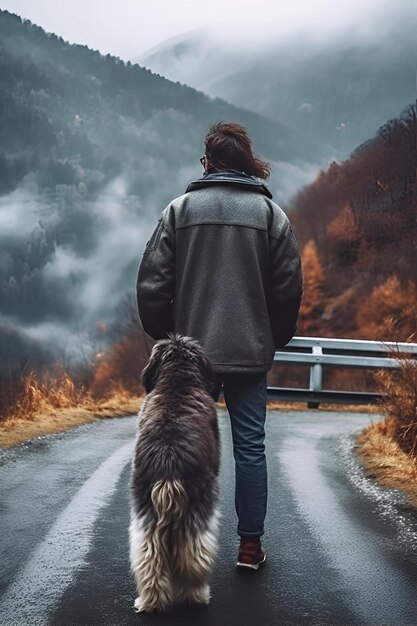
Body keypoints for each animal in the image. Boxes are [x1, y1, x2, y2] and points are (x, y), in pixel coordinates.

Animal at [129, 332, 221, 608]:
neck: (177, 381)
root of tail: (168, 460)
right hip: (198, 505)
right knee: (193, 555)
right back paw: (196, 595)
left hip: (145, 509)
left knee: (148, 557)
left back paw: (150, 601)